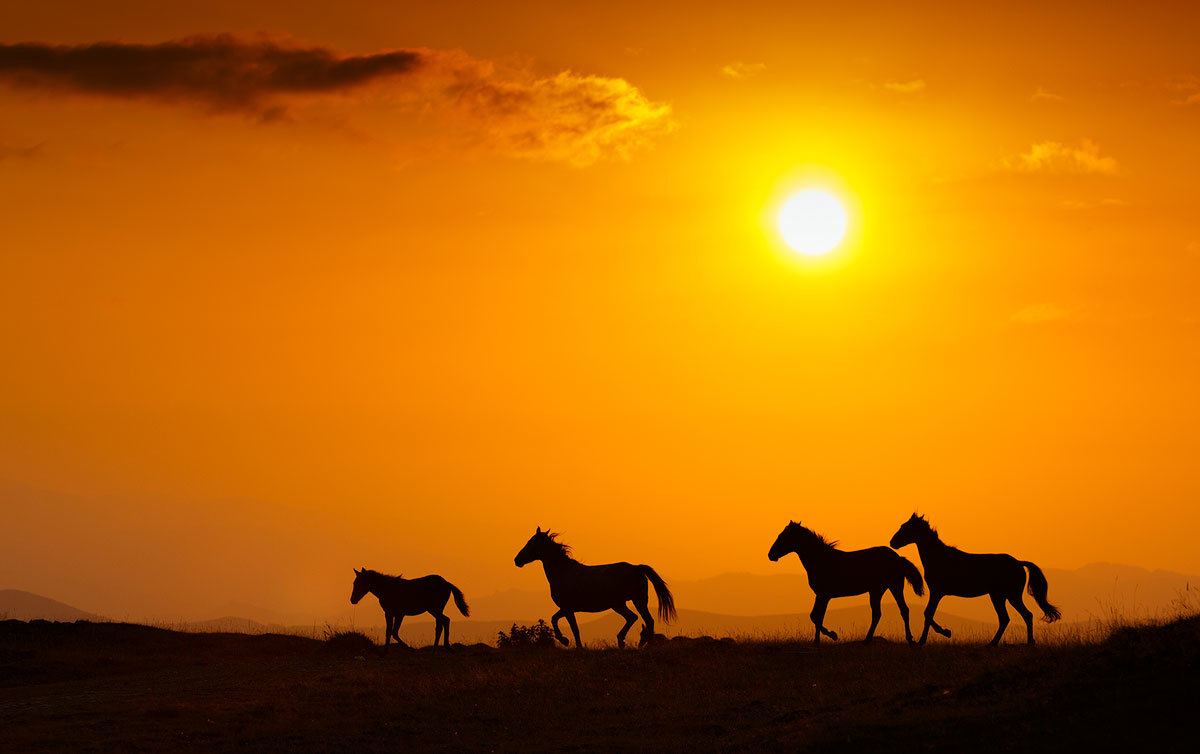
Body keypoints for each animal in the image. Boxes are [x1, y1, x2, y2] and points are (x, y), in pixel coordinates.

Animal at [511, 523, 676, 648]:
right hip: (628, 602)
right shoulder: (566, 608)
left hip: (629, 602)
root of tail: (637, 568)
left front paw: (569, 643)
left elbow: (572, 627)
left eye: (531, 543)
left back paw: (631, 641)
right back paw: (627, 641)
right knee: (640, 619)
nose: (517, 560)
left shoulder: (568, 608)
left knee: (642, 619)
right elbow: (555, 619)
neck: (563, 572)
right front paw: (567, 641)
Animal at [768, 521, 926, 643]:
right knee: (887, 612)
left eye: (782, 536)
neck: (821, 559)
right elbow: (816, 616)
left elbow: (817, 617)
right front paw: (817, 641)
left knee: (894, 611)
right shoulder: (820, 595)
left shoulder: (824, 595)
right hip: (881, 590)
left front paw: (832, 635)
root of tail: (898, 558)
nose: (771, 555)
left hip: (891, 587)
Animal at [888, 516, 1065, 643]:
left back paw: (1026, 643)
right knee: (1006, 618)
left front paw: (934, 636)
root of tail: (1018, 563)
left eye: (906, 527)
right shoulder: (937, 593)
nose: (892, 542)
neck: (939, 557)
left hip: (1010, 596)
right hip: (999, 596)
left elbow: (927, 614)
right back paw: (993, 644)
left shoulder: (937, 592)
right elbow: (928, 614)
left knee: (1025, 615)